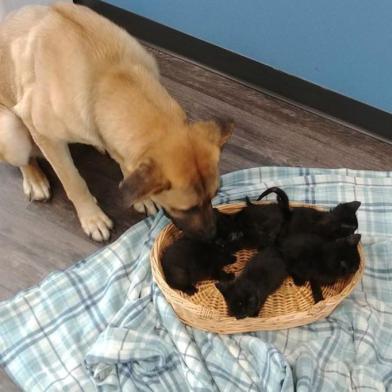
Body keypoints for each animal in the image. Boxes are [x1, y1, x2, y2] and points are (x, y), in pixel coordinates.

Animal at [0, 3, 233, 242]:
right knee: (25, 159)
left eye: (214, 195)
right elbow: (73, 182)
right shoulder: (44, 135)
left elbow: (126, 164)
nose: (213, 235)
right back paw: (35, 180)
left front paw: (141, 197)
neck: (110, 76)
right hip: (10, 130)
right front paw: (92, 218)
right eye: (188, 208)